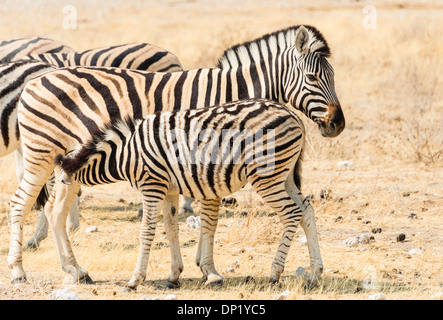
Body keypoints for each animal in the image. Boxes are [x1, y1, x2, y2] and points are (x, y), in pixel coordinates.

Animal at [54, 98, 312, 290]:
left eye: (57, 183)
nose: (53, 206)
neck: (127, 153)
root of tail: (293, 115)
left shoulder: (152, 185)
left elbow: (147, 231)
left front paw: (135, 280)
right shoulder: (168, 189)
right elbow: (171, 229)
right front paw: (174, 275)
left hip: (266, 176)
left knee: (291, 213)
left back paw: (275, 273)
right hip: (285, 175)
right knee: (306, 210)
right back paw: (315, 273)